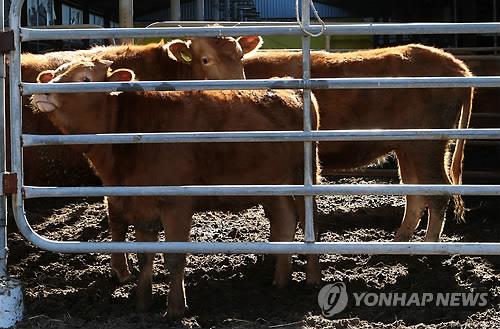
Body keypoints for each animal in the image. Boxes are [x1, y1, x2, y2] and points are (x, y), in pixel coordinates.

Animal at [31, 59, 320, 318]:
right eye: (55, 73)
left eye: (85, 78)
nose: (43, 90)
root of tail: (290, 86)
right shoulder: (140, 204)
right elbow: (145, 256)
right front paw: (142, 303)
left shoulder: (177, 204)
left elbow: (174, 257)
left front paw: (175, 309)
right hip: (273, 183)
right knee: (285, 218)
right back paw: (280, 279)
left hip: (305, 175)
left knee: (309, 222)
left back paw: (312, 278)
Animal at [244, 44, 474, 241]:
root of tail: (459, 67)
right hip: (407, 147)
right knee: (416, 193)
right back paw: (398, 243)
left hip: (427, 144)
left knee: (438, 191)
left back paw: (427, 247)